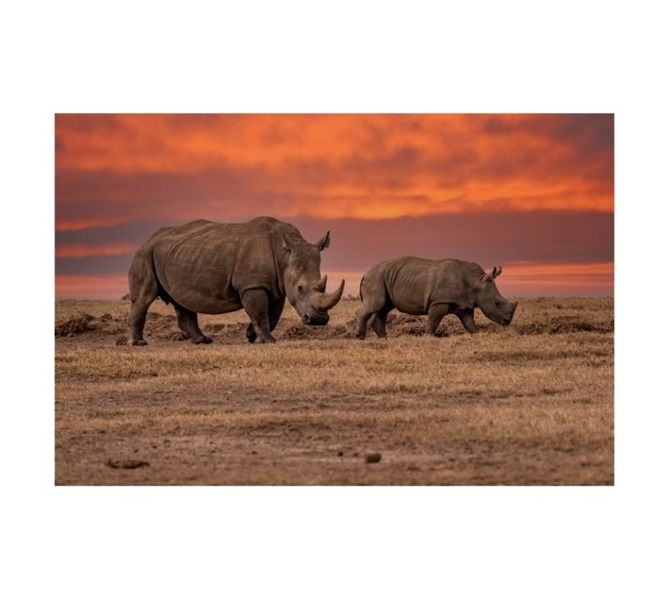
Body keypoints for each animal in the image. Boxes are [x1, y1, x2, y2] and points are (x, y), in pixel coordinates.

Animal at [128, 217, 345, 345]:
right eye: (300, 288)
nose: (318, 320)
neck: (284, 254)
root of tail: (147, 239)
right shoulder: (253, 285)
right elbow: (260, 312)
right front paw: (267, 341)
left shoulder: (277, 286)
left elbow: (272, 314)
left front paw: (251, 336)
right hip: (145, 254)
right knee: (144, 298)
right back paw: (139, 344)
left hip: (173, 256)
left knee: (181, 300)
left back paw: (203, 340)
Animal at [355, 256, 517, 338]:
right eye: (497, 303)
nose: (507, 321)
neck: (476, 282)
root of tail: (366, 273)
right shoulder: (439, 301)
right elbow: (434, 319)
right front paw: (429, 336)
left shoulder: (464, 304)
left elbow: (469, 322)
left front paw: (476, 334)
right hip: (376, 277)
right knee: (376, 305)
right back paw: (359, 336)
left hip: (384, 277)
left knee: (384, 308)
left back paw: (384, 338)